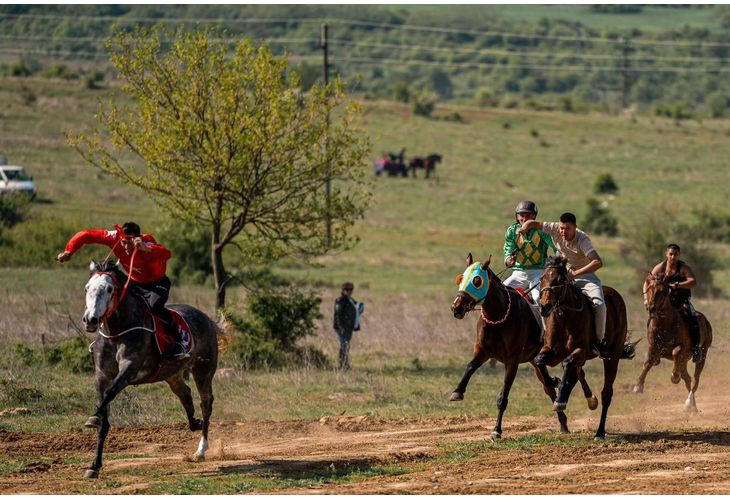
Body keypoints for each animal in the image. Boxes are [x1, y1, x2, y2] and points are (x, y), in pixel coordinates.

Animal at [79, 260, 220, 478]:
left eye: (109, 289)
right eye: (87, 288)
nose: (90, 320)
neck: (117, 332)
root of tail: (207, 319)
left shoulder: (129, 368)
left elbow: (110, 393)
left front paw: (93, 418)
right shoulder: (102, 376)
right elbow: (104, 417)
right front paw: (94, 466)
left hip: (203, 371)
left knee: (206, 404)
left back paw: (201, 450)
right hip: (172, 374)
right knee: (185, 394)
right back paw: (194, 423)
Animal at [450, 254, 596, 438]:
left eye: (477, 281)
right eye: (461, 278)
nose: (456, 307)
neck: (498, 316)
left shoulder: (512, 360)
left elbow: (503, 397)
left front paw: (496, 430)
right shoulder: (483, 350)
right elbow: (470, 366)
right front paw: (457, 391)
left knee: (577, 371)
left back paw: (589, 399)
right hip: (536, 359)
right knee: (549, 386)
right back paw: (562, 418)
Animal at [532, 256, 636, 440]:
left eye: (559, 280)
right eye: (542, 278)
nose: (545, 306)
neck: (564, 316)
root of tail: (615, 294)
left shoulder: (581, 350)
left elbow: (568, 363)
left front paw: (560, 397)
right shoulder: (553, 351)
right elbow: (539, 360)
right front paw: (553, 382)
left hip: (613, 355)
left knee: (606, 392)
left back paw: (600, 431)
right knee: (578, 373)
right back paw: (586, 399)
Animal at [632, 274, 712, 410]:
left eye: (662, 291)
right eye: (648, 289)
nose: (651, 308)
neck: (664, 324)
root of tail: (706, 322)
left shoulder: (682, 348)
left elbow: (675, 352)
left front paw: (674, 377)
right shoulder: (653, 347)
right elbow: (648, 362)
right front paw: (638, 386)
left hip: (702, 355)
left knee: (695, 380)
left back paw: (689, 403)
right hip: (684, 360)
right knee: (688, 379)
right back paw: (692, 407)